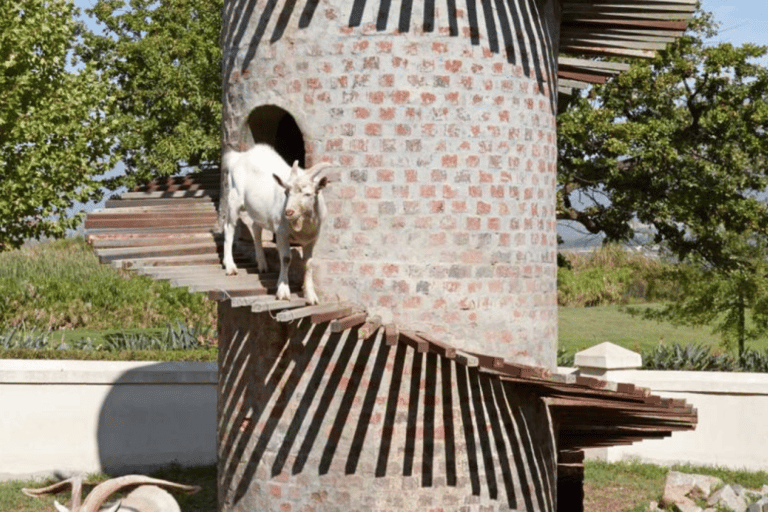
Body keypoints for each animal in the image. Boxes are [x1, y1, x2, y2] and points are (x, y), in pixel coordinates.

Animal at [219, 143, 332, 304]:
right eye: (286, 193)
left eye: (308, 194)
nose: (288, 212)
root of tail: (239, 156)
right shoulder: (281, 233)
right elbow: (286, 259)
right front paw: (283, 291)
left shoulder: (312, 239)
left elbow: (308, 264)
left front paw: (311, 297)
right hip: (234, 198)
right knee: (229, 227)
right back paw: (230, 266)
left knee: (256, 228)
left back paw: (262, 265)